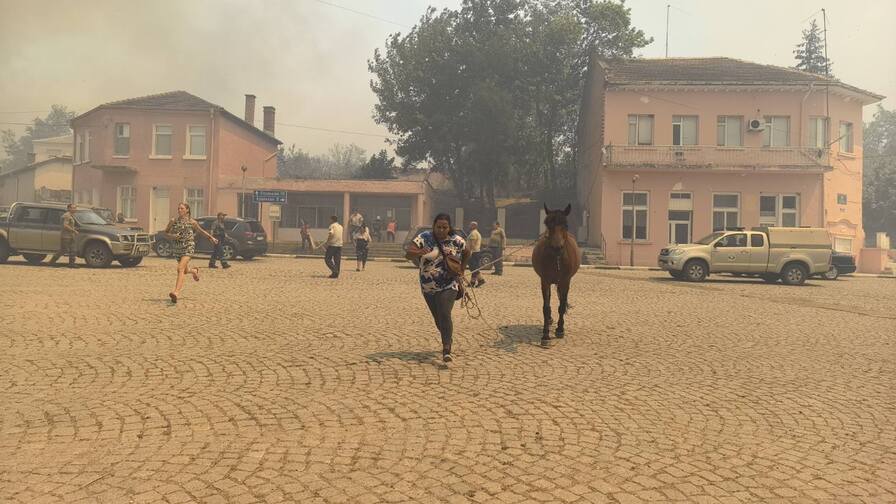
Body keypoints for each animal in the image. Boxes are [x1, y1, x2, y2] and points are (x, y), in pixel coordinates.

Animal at [532, 203, 580, 340]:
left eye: (566, 225)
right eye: (547, 224)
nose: (557, 248)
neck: (557, 258)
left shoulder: (565, 281)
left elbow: (562, 305)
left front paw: (560, 329)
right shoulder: (545, 281)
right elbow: (546, 307)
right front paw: (545, 334)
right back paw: (549, 320)